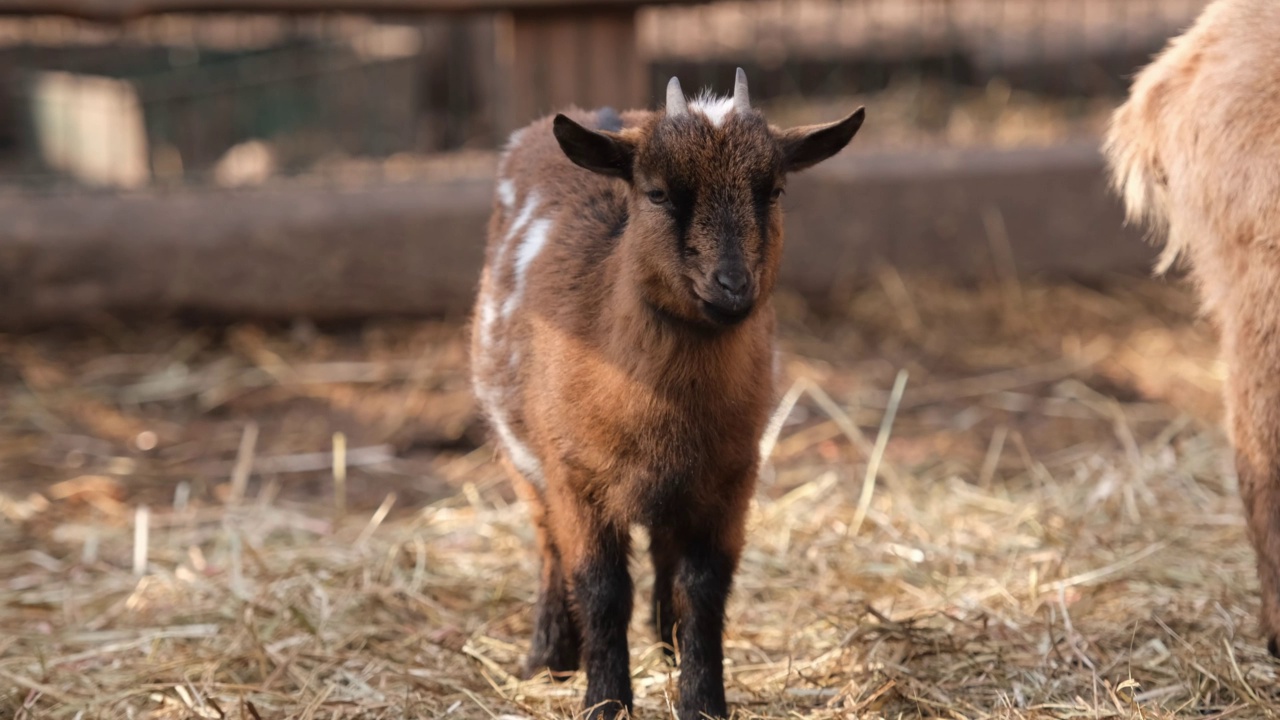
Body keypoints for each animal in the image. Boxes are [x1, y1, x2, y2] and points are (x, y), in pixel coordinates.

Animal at [468, 68, 860, 717]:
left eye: (775, 191)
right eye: (656, 193)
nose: (733, 285)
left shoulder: (730, 477)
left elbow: (703, 588)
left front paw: (701, 698)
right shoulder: (575, 478)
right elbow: (600, 588)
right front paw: (605, 701)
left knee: (661, 554)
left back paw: (664, 641)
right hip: (520, 456)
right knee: (548, 544)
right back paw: (549, 655)